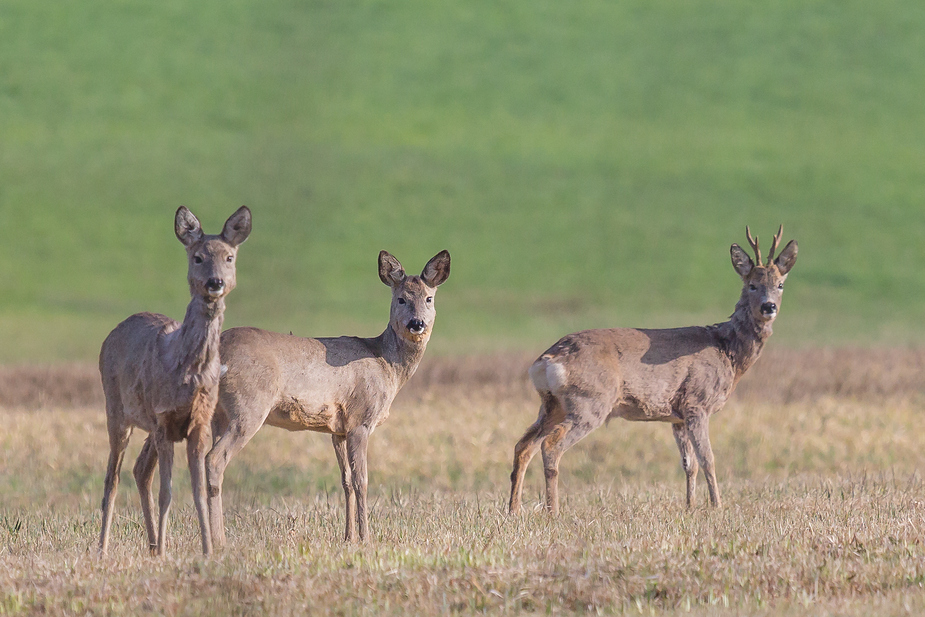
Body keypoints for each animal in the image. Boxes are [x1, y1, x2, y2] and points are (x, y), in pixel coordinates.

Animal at [96, 206, 253, 552]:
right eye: (198, 257)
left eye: (230, 257)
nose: (215, 282)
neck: (187, 371)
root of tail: (111, 334)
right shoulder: (163, 418)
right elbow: (167, 492)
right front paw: (168, 553)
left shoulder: (198, 423)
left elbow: (198, 491)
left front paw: (207, 551)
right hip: (117, 410)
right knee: (113, 478)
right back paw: (102, 549)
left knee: (140, 469)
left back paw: (152, 545)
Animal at [206, 248, 452, 548]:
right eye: (401, 298)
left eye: (429, 298)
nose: (417, 323)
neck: (387, 364)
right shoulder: (360, 420)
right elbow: (362, 481)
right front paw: (366, 538)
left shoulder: (338, 429)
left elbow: (345, 481)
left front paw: (348, 537)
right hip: (248, 407)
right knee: (214, 459)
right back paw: (218, 541)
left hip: (218, 414)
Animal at [506, 226, 796, 516]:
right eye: (752, 284)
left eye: (780, 285)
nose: (768, 307)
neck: (727, 350)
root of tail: (547, 359)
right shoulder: (697, 403)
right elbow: (708, 459)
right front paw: (717, 507)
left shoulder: (677, 416)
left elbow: (689, 463)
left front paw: (690, 507)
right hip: (589, 402)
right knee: (551, 445)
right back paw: (552, 511)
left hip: (552, 405)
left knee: (524, 445)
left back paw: (514, 509)